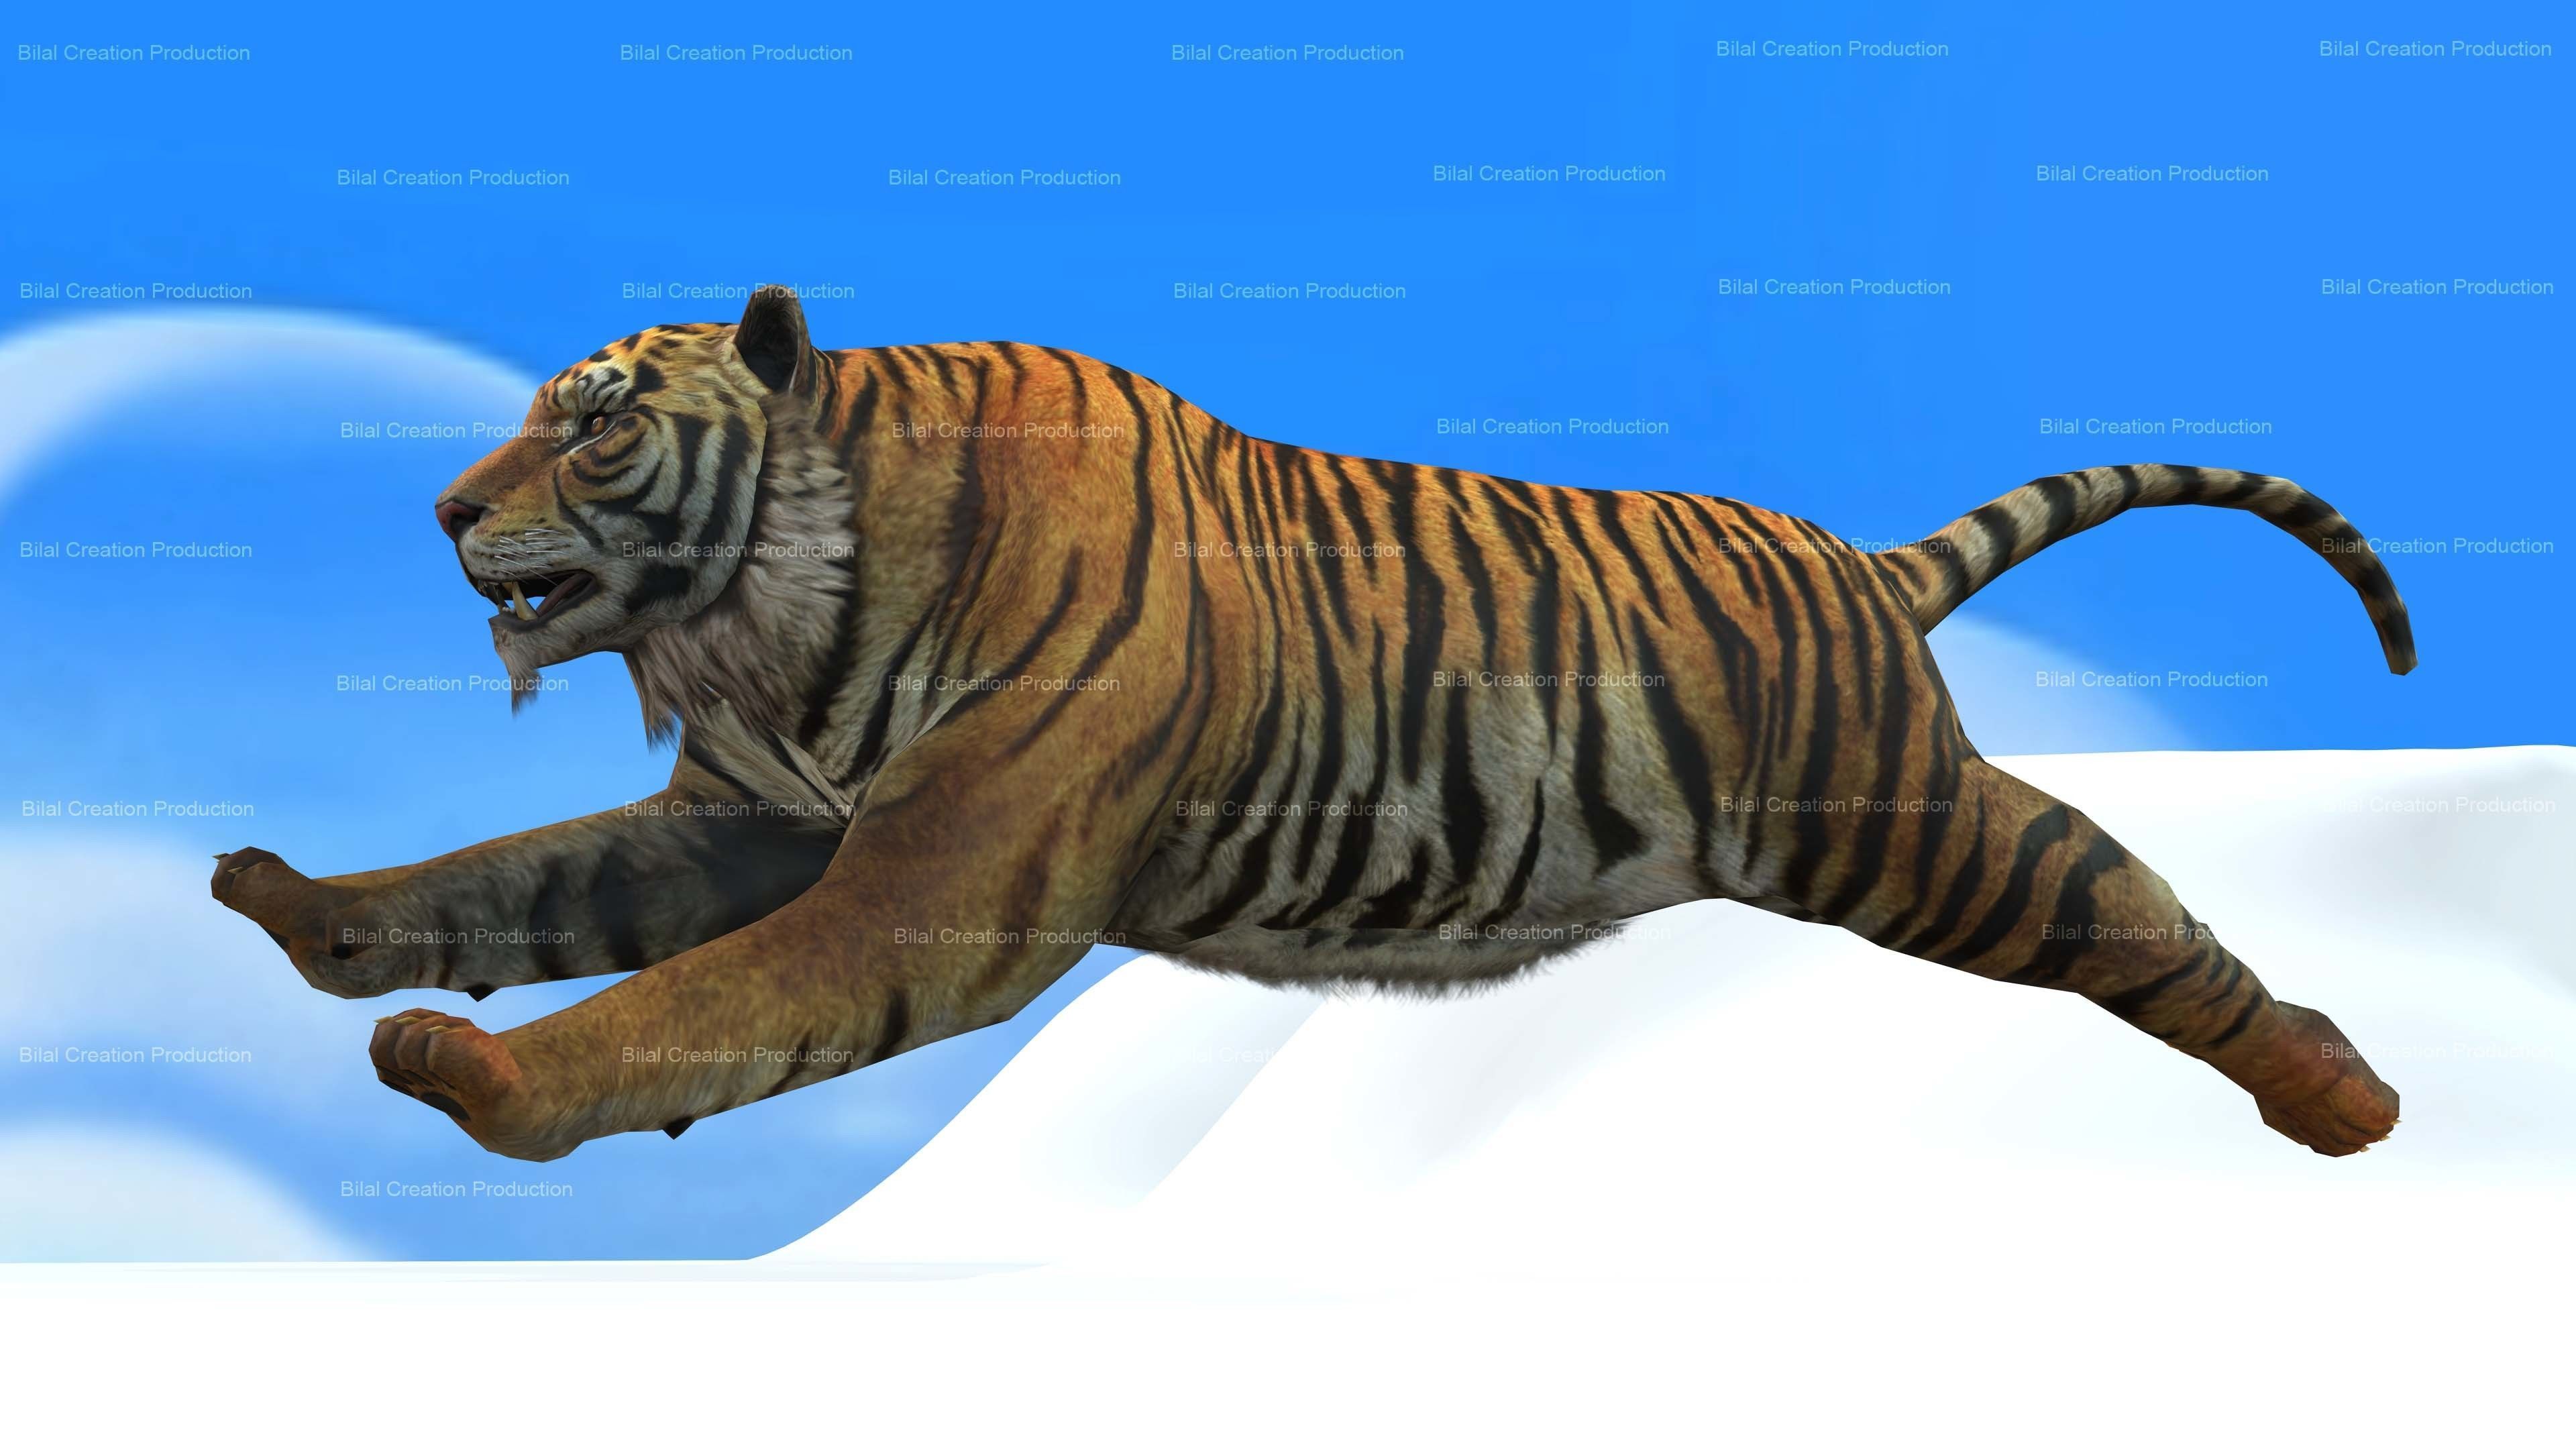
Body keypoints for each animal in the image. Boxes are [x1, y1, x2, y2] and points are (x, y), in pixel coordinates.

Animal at [211, 286, 2413, 1162]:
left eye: (590, 424)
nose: (443, 512)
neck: (784, 611)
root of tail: (1857, 564)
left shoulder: (933, 884)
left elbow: (687, 1002)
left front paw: (484, 1082)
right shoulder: (753, 818)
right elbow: (517, 883)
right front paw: (299, 911)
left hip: (1917, 827)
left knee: (2140, 918)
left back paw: (2345, 1101)